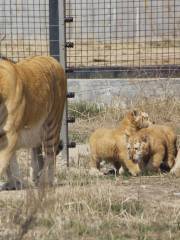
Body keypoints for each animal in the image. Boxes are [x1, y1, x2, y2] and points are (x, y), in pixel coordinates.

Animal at [0, 55, 67, 190]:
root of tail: (52, 59)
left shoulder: (10, 134)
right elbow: (10, 165)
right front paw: (14, 184)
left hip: (52, 126)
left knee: (50, 156)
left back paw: (45, 181)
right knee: (37, 152)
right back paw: (32, 179)